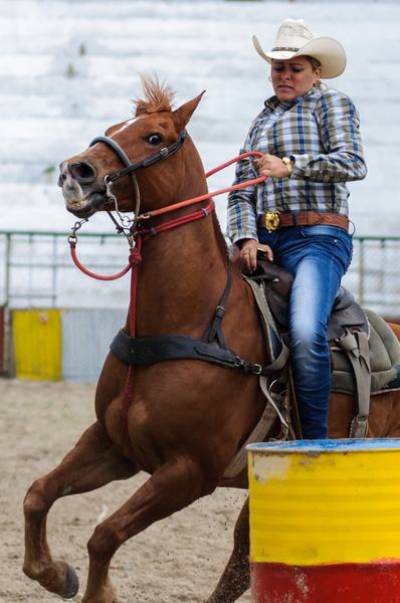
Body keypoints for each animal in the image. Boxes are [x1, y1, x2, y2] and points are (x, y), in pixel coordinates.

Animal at [23, 78, 400, 600]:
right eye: (114, 127)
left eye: (155, 136)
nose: (74, 171)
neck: (189, 320)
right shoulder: (113, 445)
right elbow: (38, 493)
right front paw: (54, 573)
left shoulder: (189, 471)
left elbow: (104, 534)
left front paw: (96, 590)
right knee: (242, 557)